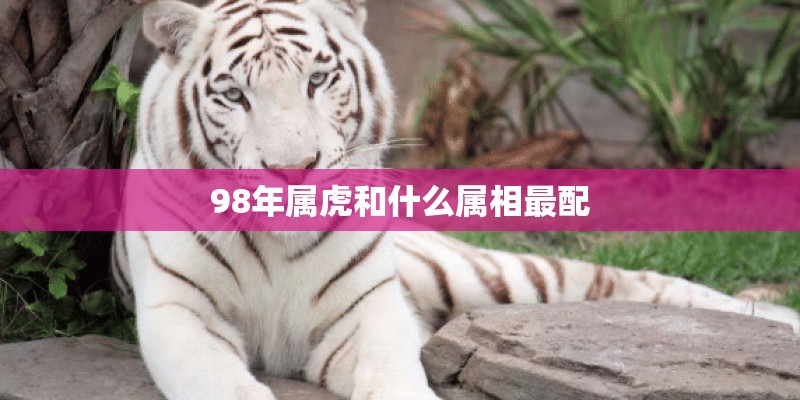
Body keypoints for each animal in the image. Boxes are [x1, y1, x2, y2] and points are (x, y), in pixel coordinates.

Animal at [112, 1, 800, 399]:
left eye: (318, 80)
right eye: (234, 95)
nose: (294, 171)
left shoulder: (368, 310)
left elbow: (394, 377)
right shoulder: (179, 312)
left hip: (487, 275)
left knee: (635, 283)